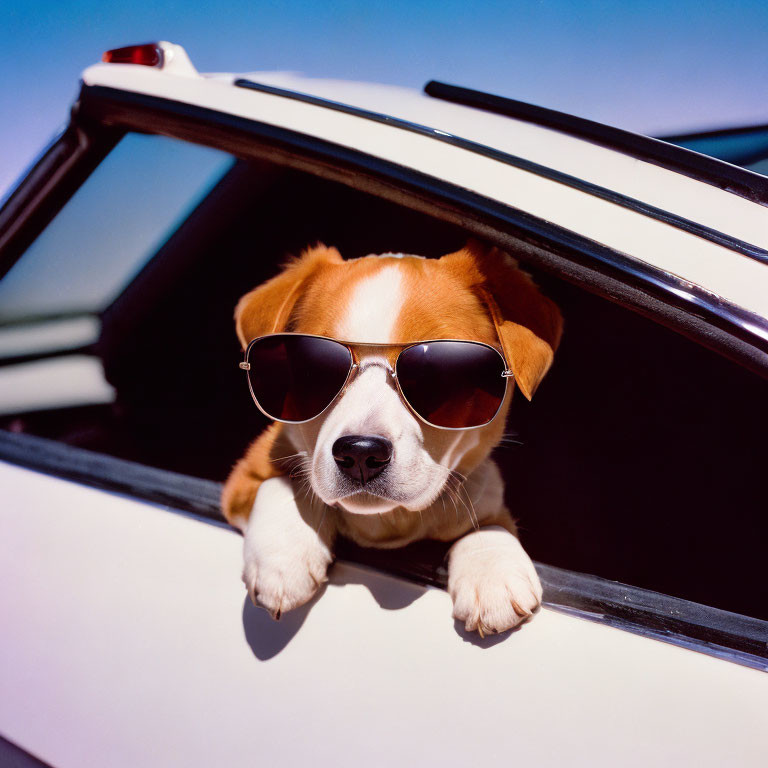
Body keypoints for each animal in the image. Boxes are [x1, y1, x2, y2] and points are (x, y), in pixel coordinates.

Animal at [219, 242, 560, 636]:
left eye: (444, 376)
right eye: (310, 370)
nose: (360, 454)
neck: (387, 521)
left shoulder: (486, 488)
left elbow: (485, 521)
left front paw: (492, 571)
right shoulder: (242, 479)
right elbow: (280, 484)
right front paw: (284, 556)